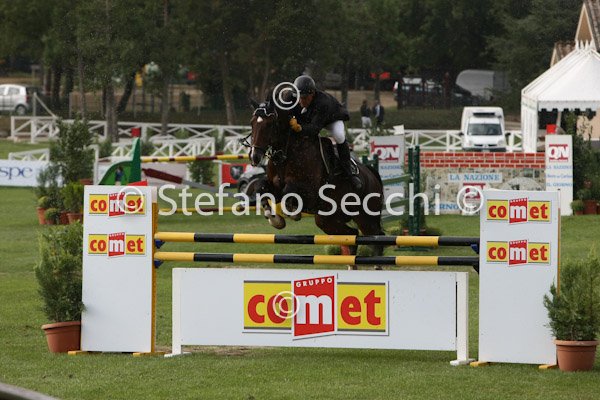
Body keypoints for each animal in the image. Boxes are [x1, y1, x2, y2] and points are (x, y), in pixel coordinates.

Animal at [247, 99, 385, 257]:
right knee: (352, 234)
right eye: (252, 123)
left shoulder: (310, 192)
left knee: (376, 237)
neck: (285, 155)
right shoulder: (274, 187)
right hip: (327, 219)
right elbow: (260, 187)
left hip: (366, 216)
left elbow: (289, 190)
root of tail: (371, 174)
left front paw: (292, 212)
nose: (254, 157)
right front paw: (275, 219)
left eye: (269, 124)